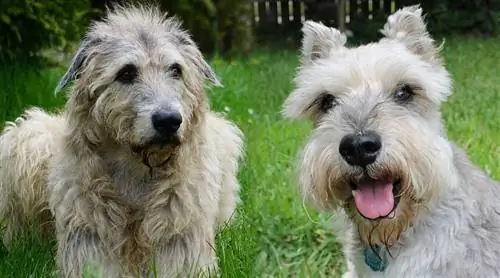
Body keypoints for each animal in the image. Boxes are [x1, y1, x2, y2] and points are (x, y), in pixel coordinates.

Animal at [0, 4, 242, 278]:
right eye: (126, 73)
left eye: (176, 70)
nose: (169, 121)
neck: (137, 169)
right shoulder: (87, 243)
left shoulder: (182, 245)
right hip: (27, 139)